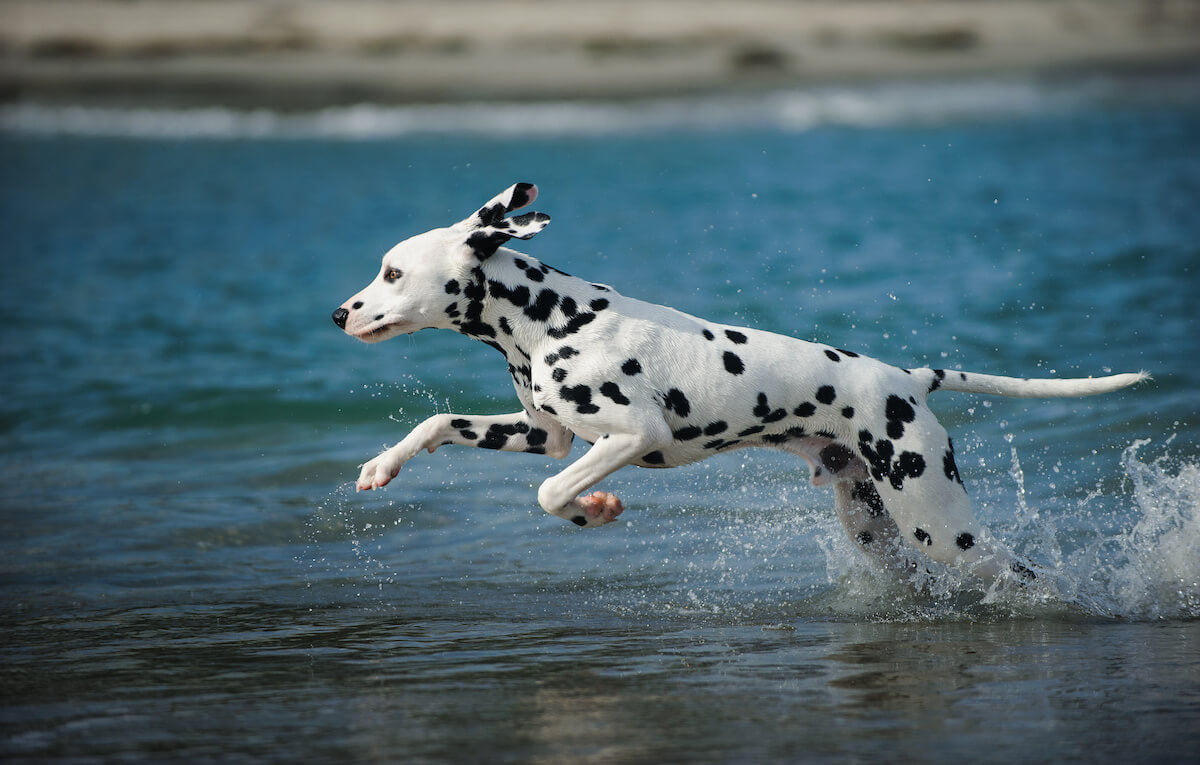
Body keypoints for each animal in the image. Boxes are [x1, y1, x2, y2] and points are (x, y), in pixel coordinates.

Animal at [333, 182, 1147, 585]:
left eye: (392, 272)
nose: (339, 312)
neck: (551, 317)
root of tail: (909, 380)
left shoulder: (632, 434)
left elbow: (550, 492)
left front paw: (595, 509)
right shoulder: (545, 433)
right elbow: (439, 423)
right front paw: (380, 465)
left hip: (940, 526)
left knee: (1022, 573)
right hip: (875, 529)